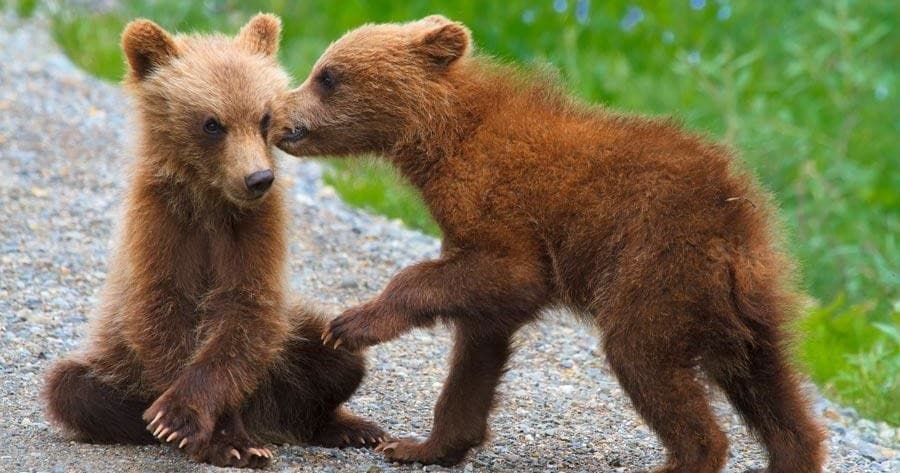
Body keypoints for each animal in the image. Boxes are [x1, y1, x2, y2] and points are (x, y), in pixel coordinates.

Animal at [43, 14, 384, 469]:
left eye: (264, 117)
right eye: (212, 123)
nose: (258, 178)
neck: (209, 200)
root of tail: (266, 416)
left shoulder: (253, 226)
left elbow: (246, 309)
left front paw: (192, 421)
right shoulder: (161, 223)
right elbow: (163, 308)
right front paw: (216, 437)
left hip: (288, 353)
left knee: (338, 354)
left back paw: (349, 427)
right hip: (116, 361)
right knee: (71, 389)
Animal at [274, 15, 826, 473]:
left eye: (328, 75)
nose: (278, 117)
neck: (445, 138)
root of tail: (733, 214)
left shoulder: (498, 203)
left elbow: (505, 276)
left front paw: (350, 324)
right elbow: (479, 344)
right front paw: (421, 445)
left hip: (656, 264)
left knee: (644, 357)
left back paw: (684, 457)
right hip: (749, 299)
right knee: (771, 386)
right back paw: (793, 452)